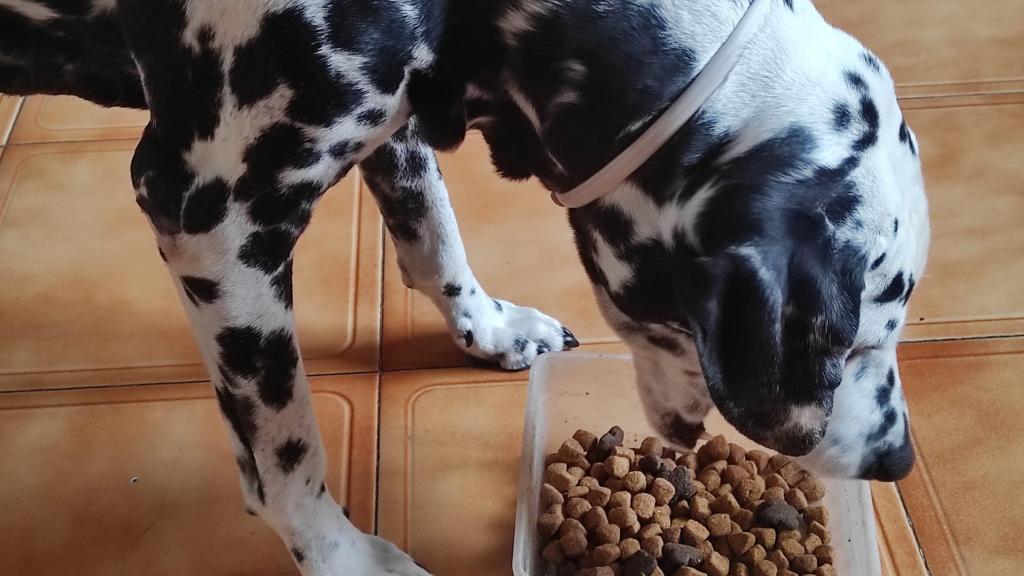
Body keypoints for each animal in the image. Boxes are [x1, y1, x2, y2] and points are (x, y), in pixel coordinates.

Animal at [0, 0, 929, 569]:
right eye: (843, 341)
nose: (898, 462)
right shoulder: (214, 215)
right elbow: (286, 452)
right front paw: (342, 557)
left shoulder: (395, 113)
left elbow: (431, 235)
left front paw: (488, 328)